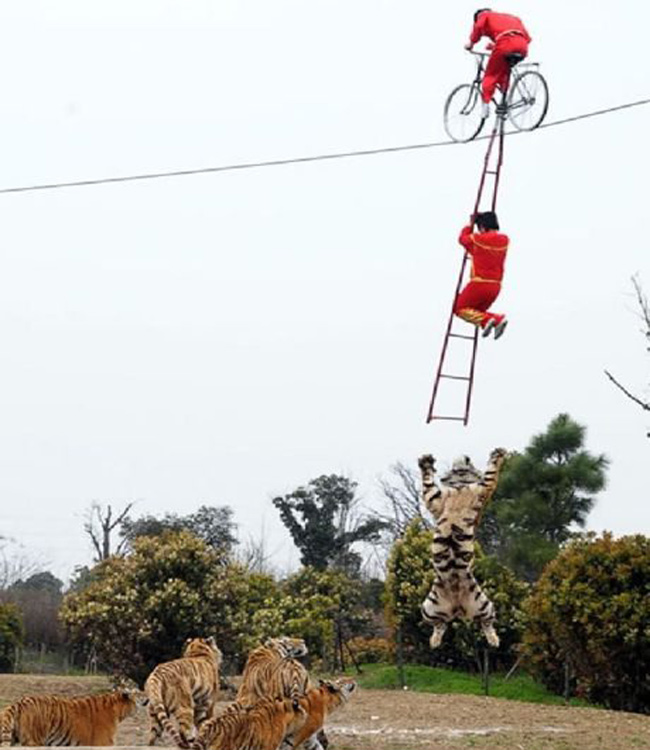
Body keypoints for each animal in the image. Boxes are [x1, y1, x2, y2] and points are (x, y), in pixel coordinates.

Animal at [416, 450, 506, 648]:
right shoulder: (435, 499)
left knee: (487, 623)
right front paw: (425, 461)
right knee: (440, 625)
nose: (465, 457)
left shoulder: (483, 488)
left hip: (484, 604)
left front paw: (498, 453)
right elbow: (428, 484)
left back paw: (494, 641)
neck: (459, 486)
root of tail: (458, 609)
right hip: (428, 608)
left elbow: (490, 474)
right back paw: (434, 642)